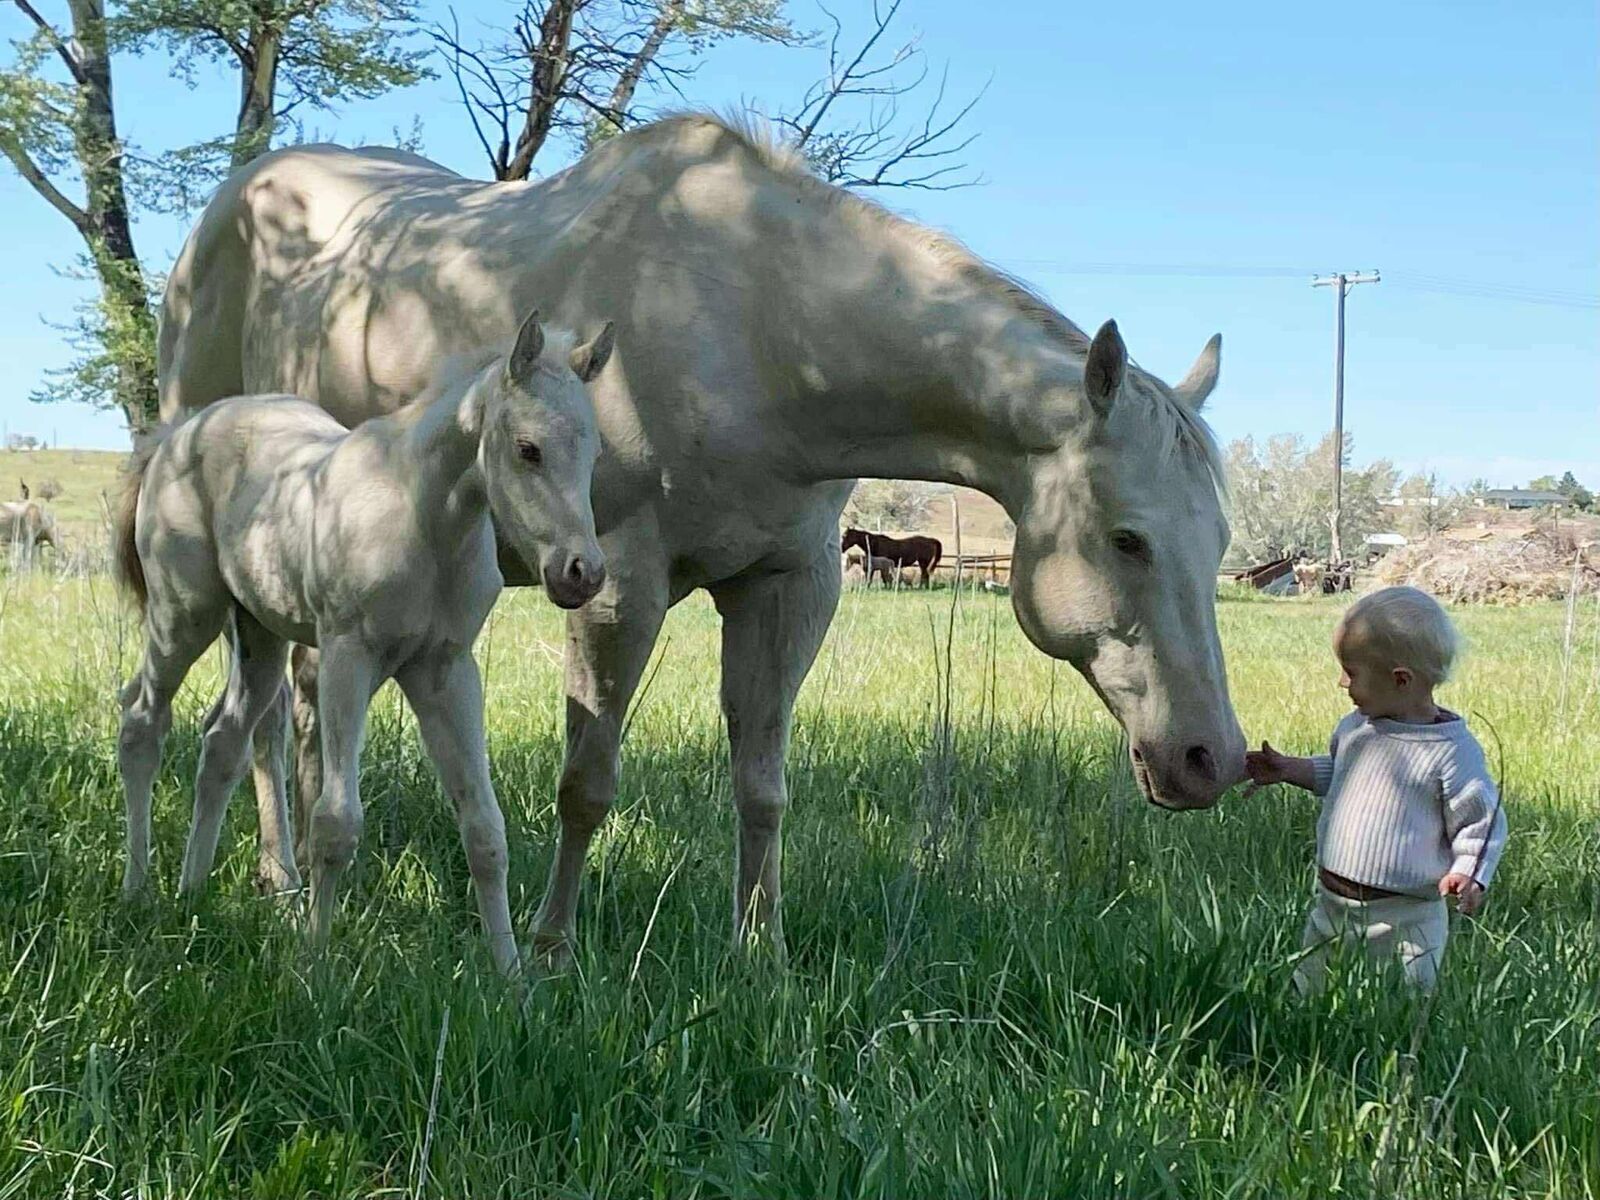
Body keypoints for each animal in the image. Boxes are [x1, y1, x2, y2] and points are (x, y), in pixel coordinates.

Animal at [113, 309, 612, 974]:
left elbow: (485, 828)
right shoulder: (346, 657)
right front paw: (315, 966)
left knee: (223, 740)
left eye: (596, 453)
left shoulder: (446, 671)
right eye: (527, 449)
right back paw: (137, 889)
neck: (425, 521)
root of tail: (175, 436)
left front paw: (509, 974)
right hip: (184, 616)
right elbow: (336, 821)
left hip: (259, 633)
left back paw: (192, 892)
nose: (582, 573)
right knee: (142, 722)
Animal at [158, 113, 1245, 962]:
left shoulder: (788, 585)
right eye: (1127, 539)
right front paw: (552, 948)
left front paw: (759, 952)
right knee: (257, 723)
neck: (754, 327)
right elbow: (587, 784)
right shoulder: (616, 584)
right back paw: (277, 882)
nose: (1212, 760)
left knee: (292, 717)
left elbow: (762, 787)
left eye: (1219, 543)